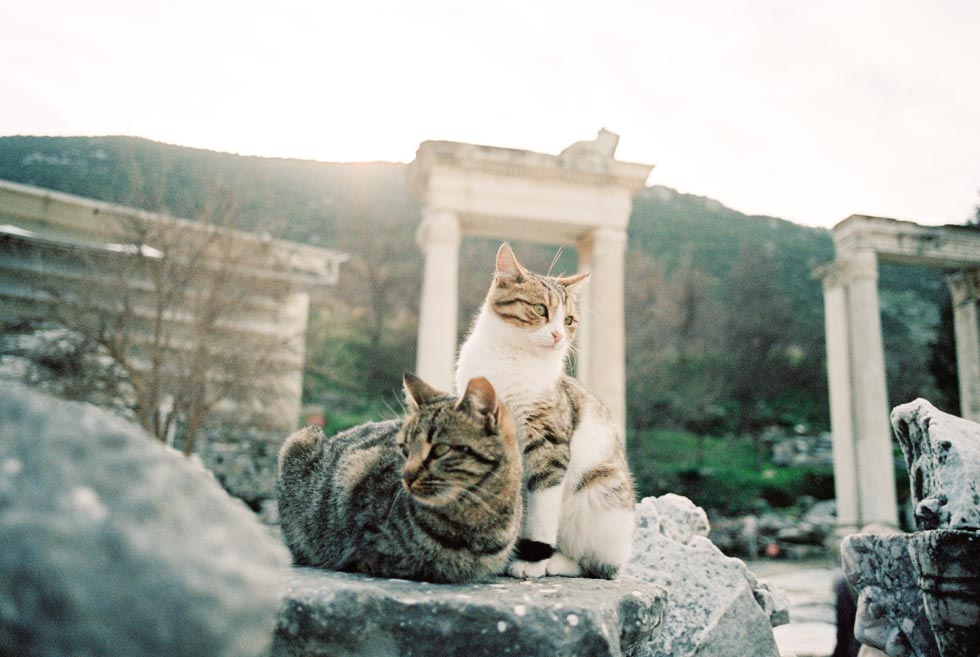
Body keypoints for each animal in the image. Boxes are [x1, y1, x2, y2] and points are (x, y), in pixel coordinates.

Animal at [454, 243, 636, 576]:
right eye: (540, 310)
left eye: (569, 320)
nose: (558, 336)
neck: (512, 358)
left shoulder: (549, 442)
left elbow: (541, 509)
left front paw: (531, 560)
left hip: (599, 499)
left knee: (596, 565)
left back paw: (556, 561)